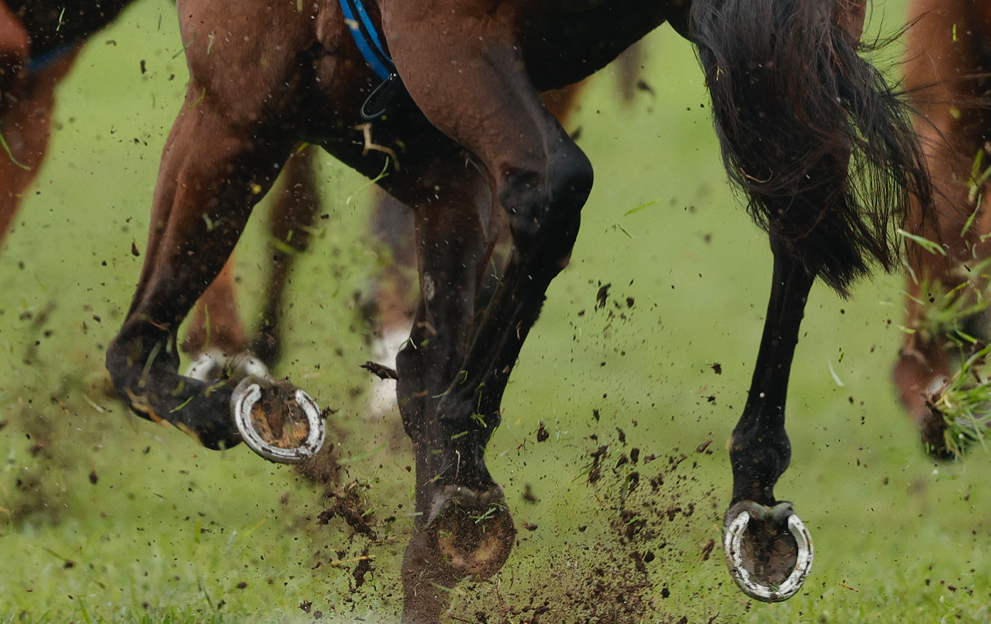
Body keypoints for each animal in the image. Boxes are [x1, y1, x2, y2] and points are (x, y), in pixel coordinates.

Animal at [41, 0, 924, 620]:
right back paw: (753, 489)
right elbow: (426, 347)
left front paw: (254, 408)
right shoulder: (434, 171)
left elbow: (136, 354)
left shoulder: (235, 108)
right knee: (795, 196)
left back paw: (465, 470)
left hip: (444, 47)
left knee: (551, 188)